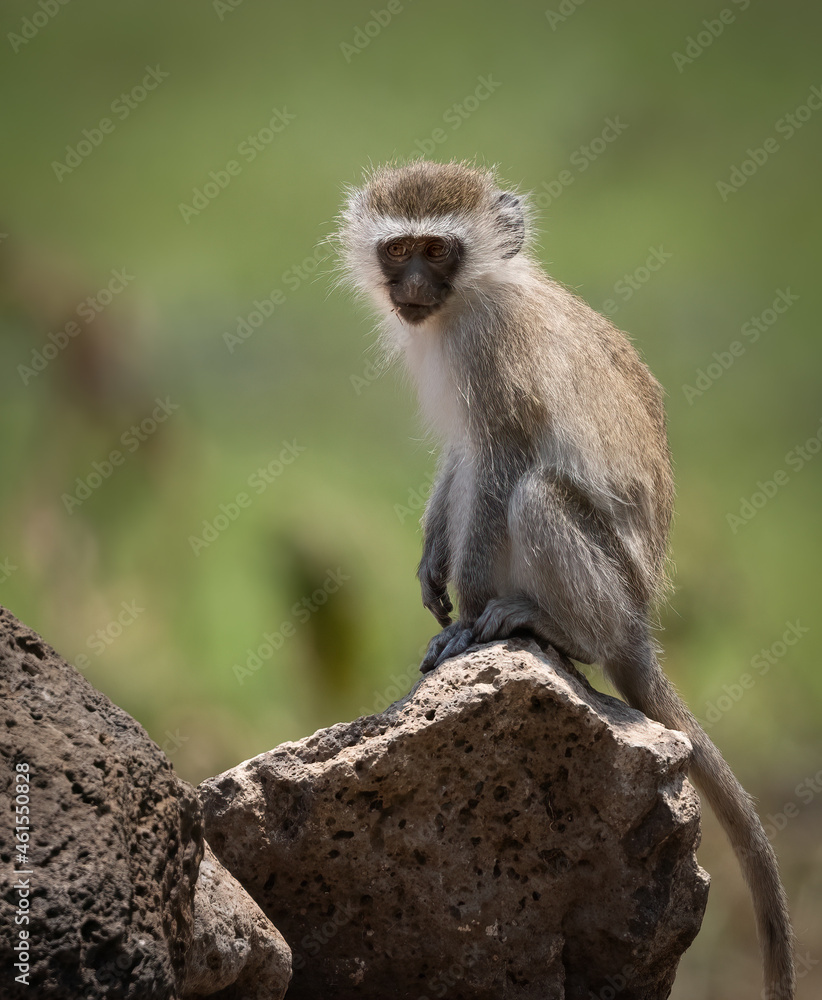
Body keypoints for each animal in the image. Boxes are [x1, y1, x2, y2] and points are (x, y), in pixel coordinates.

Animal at [335, 159, 795, 999]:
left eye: (437, 250)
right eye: (399, 250)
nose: (410, 285)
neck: (473, 298)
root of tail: (637, 628)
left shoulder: (497, 355)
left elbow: (504, 459)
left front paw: (468, 614)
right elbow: (462, 457)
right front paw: (430, 564)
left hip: (609, 589)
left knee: (536, 494)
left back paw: (550, 628)